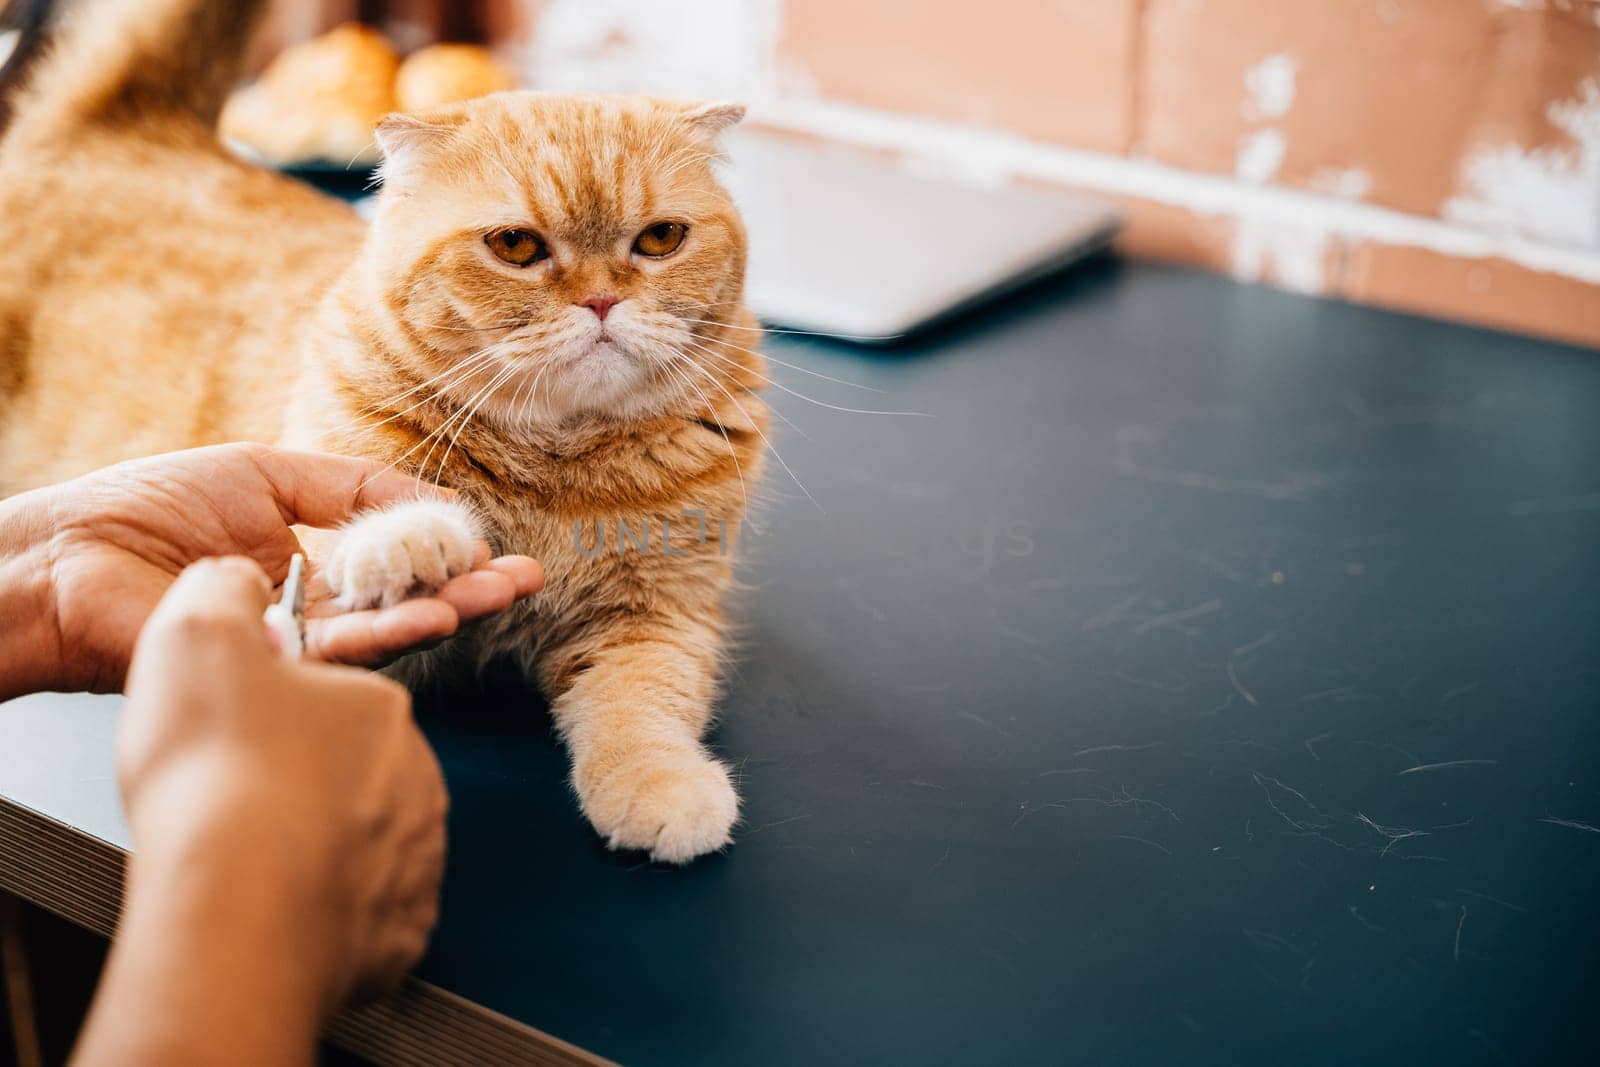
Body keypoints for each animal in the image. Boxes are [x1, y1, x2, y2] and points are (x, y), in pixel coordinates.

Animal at [0, 0, 768, 863]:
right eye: (516, 246)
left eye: (661, 238)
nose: (602, 302)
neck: (561, 462)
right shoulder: (324, 513)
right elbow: (388, 518)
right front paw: (410, 541)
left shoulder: (661, 612)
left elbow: (646, 701)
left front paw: (661, 781)